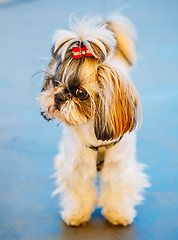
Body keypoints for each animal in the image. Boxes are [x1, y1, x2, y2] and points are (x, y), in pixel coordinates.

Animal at [36, 15, 149, 227]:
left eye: (81, 93)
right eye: (54, 83)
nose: (59, 96)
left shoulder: (119, 168)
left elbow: (117, 191)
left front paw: (117, 214)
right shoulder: (75, 167)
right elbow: (79, 192)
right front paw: (77, 214)